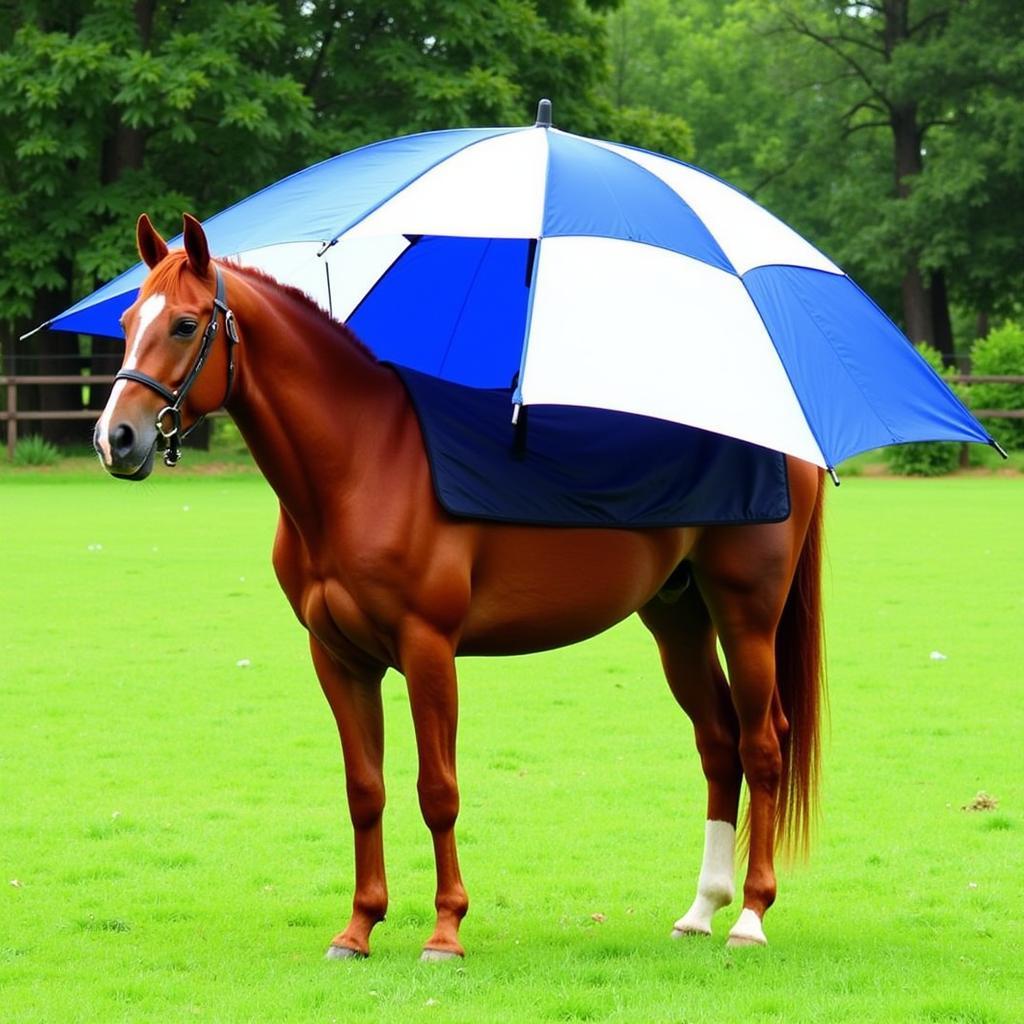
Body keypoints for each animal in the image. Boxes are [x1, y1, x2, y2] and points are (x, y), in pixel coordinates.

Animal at [90, 216, 823, 958]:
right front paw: (358, 927)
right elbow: (365, 790)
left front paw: (445, 931)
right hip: (678, 622)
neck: (366, 460)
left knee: (763, 745)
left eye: (185, 324)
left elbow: (437, 790)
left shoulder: (428, 650)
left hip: (746, 618)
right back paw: (700, 910)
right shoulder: (338, 658)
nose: (114, 438)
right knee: (719, 743)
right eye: (126, 319)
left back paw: (750, 917)